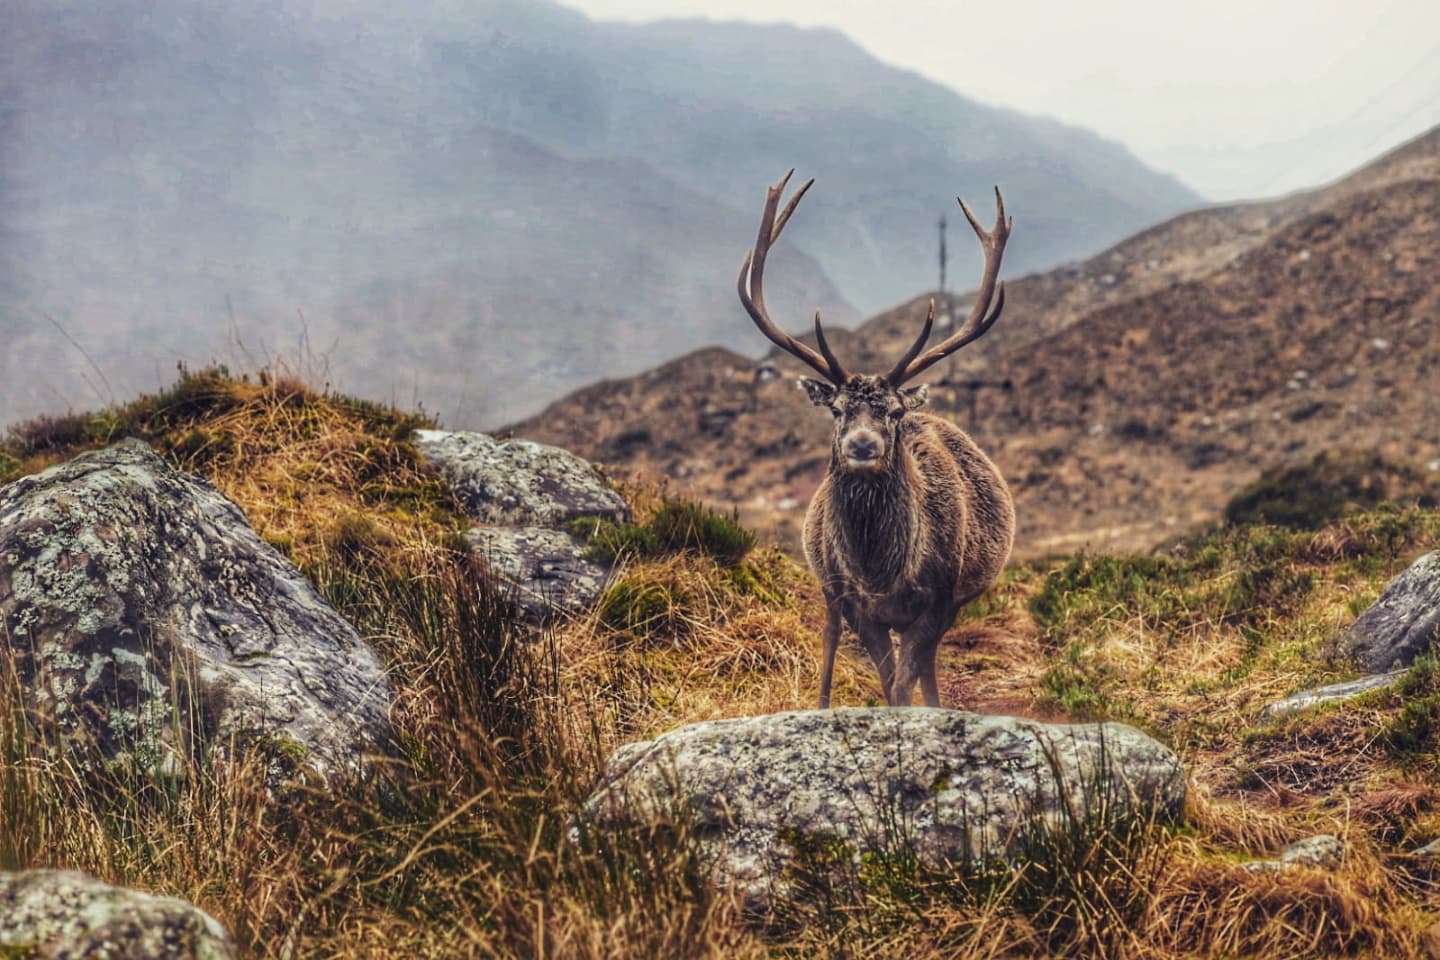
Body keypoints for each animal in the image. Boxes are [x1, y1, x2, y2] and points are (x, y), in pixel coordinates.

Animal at [737, 171, 1016, 708]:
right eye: (837, 410)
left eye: (894, 411)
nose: (862, 445)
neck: (883, 575)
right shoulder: (857, 605)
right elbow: (889, 682)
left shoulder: (939, 599)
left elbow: (905, 682)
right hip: (830, 592)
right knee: (831, 640)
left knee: (928, 663)